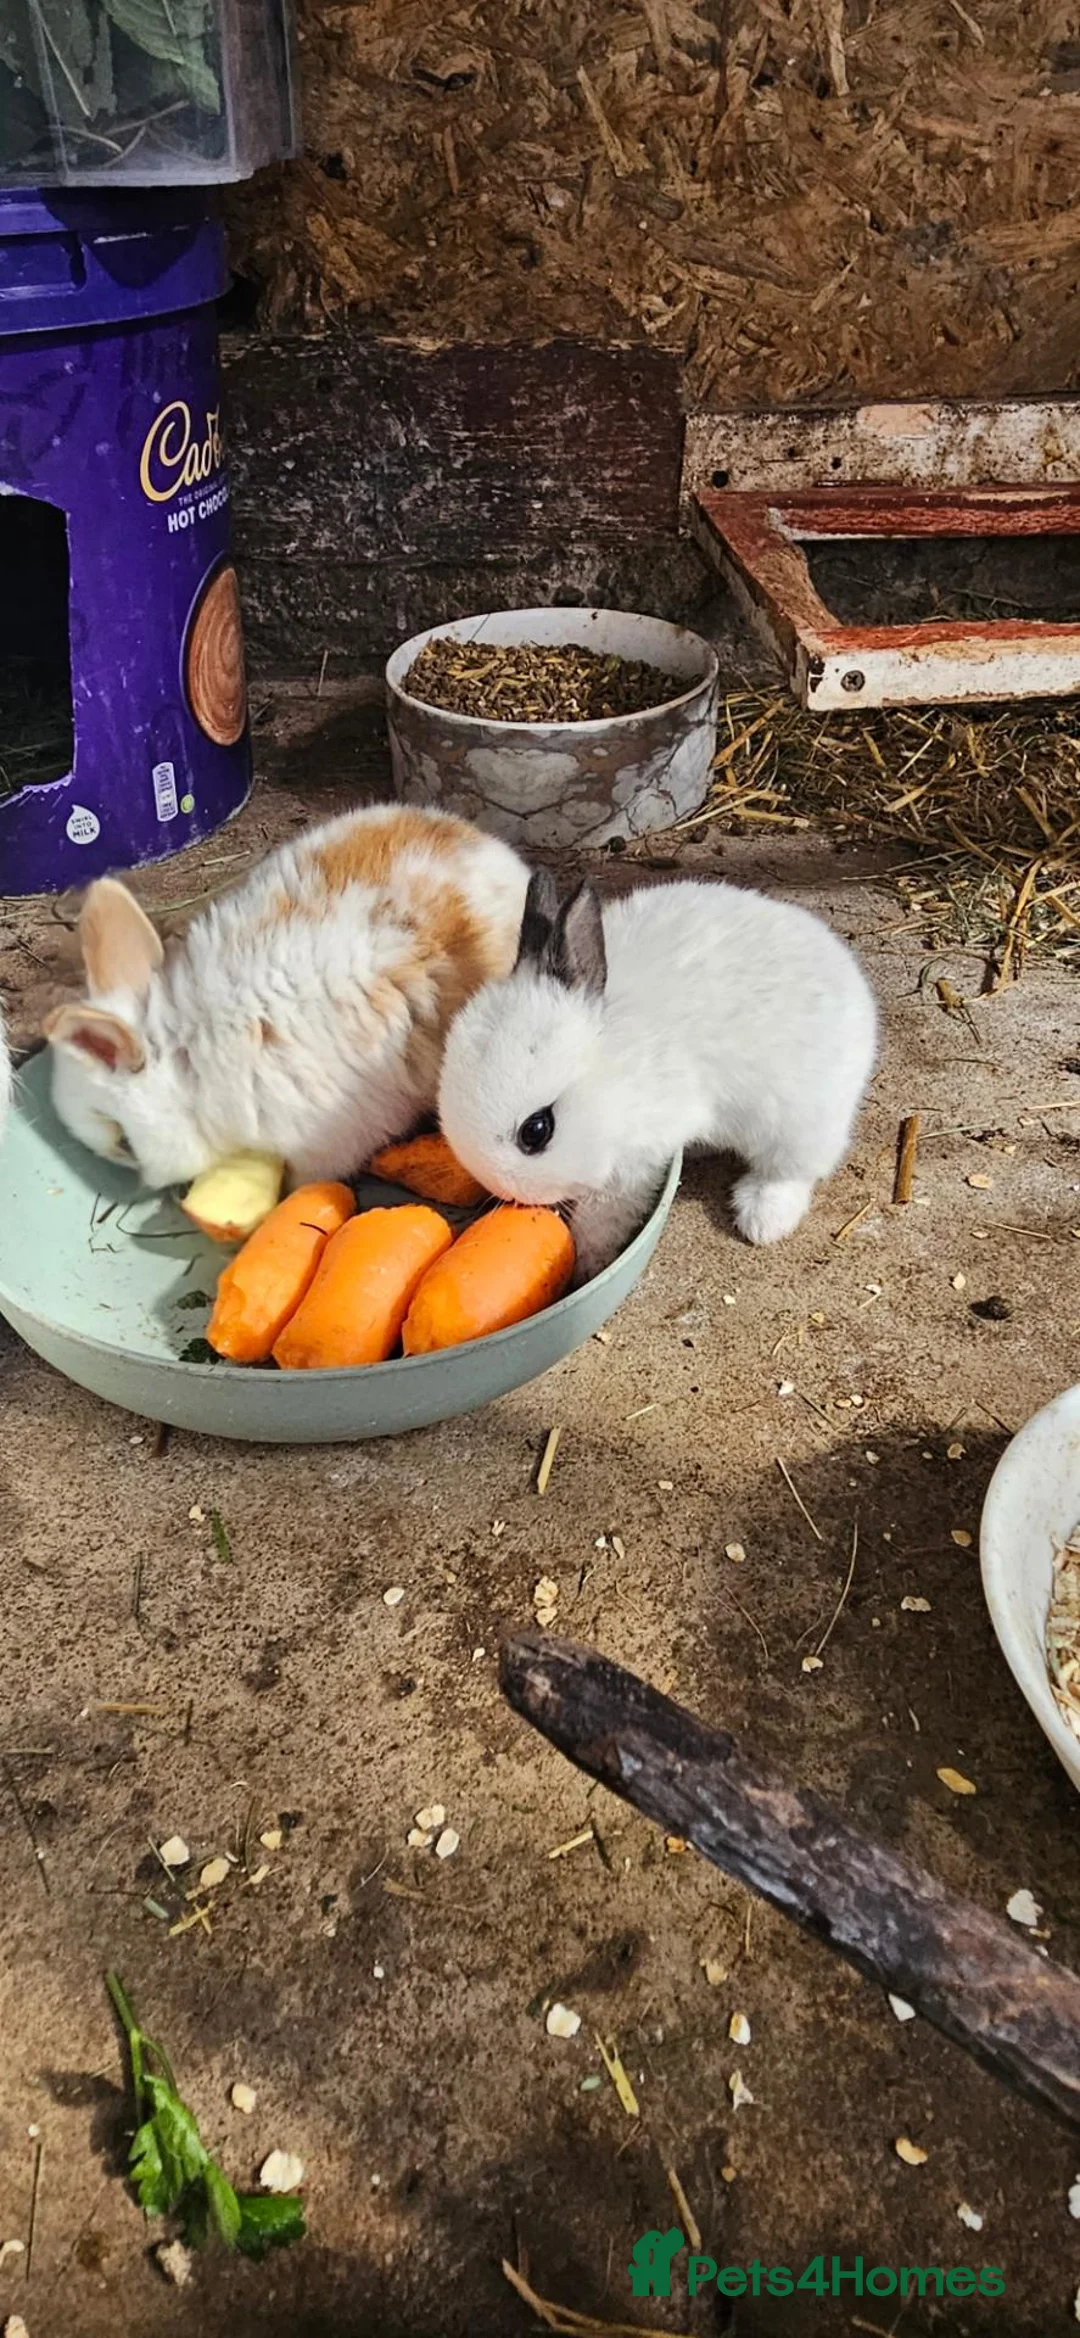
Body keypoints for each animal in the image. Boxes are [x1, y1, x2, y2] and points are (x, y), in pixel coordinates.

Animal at [438, 868, 878, 1285]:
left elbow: (603, 1218)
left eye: (536, 1130)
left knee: (793, 1170)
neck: (613, 1077)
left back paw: (761, 1220)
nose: (506, 1190)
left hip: (800, 1121)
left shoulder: (634, 1163)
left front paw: (590, 1262)